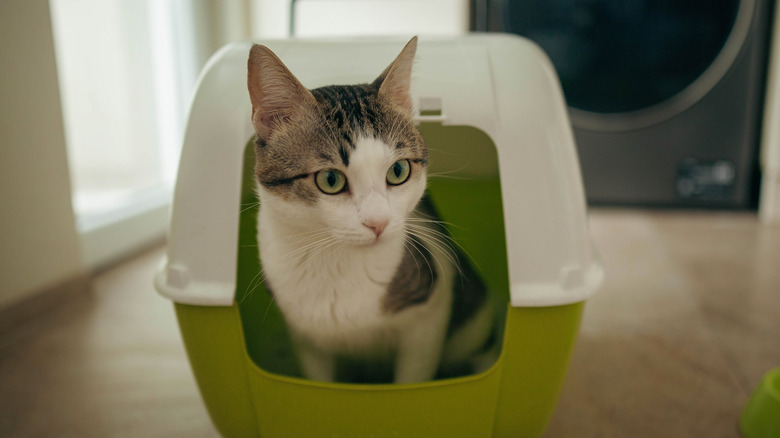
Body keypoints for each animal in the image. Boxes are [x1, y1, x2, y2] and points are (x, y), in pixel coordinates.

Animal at [247, 37, 496, 384]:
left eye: (398, 171)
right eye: (330, 179)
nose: (378, 222)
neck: (335, 263)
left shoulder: (429, 313)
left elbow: (413, 377)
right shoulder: (305, 336)